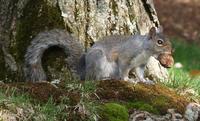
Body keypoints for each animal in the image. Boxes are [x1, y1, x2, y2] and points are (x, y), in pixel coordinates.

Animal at [24, 26, 172, 83]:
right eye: (159, 42)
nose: (171, 50)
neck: (145, 49)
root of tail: (85, 70)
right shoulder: (126, 55)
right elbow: (124, 68)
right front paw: (127, 79)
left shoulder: (140, 64)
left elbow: (140, 73)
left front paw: (145, 81)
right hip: (98, 59)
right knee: (93, 78)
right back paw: (104, 78)